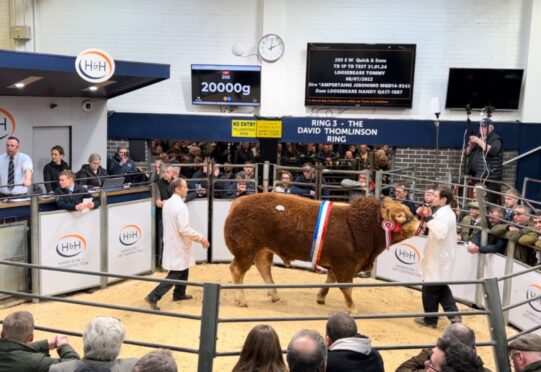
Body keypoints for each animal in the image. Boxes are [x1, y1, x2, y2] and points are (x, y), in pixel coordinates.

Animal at [221, 193, 420, 312]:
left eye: (408, 210)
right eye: (400, 215)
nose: (420, 225)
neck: (359, 226)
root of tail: (238, 202)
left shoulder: (336, 264)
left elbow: (329, 281)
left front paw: (320, 297)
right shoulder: (345, 265)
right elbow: (346, 287)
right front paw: (352, 308)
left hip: (262, 248)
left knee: (263, 266)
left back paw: (275, 295)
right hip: (245, 249)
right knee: (237, 270)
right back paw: (241, 300)